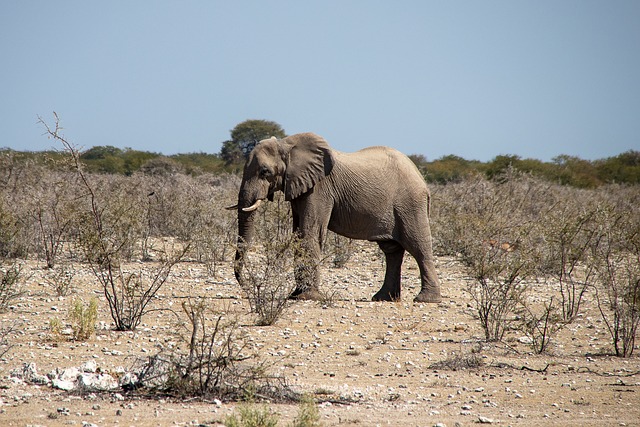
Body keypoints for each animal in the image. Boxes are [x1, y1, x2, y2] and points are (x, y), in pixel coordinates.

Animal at [227, 132, 442, 303]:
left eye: (265, 172)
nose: (247, 286)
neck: (288, 144)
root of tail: (420, 177)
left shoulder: (320, 189)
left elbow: (310, 232)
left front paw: (307, 297)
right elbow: (298, 234)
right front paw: (295, 295)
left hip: (410, 204)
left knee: (418, 246)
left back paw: (426, 299)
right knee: (392, 251)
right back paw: (384, 298)